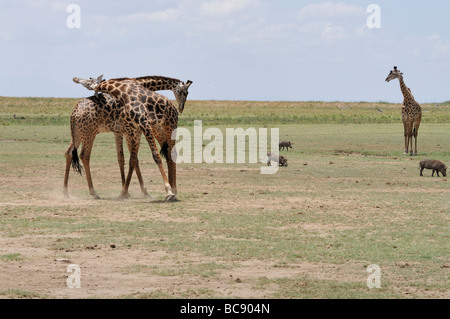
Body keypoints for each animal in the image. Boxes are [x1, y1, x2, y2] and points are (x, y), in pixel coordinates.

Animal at [62, 76, 190, 199]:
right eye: (185, 92)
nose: (181, 107)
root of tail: (74, 112)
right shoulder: (130, 131)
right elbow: (131, 159)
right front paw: (136, 191)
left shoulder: (123, 131)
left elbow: (124, 158)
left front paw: (129, 191)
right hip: (88, 133)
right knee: (84, 155)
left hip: (79, 134)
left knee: (69, 152)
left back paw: (66, 191)